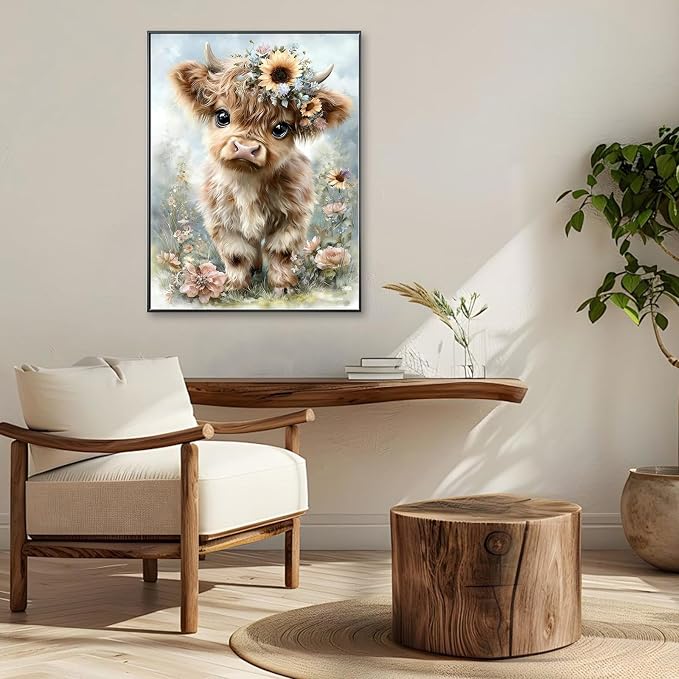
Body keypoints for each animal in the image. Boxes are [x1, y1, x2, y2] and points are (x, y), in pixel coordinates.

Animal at [170, 43, 352, 295]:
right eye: (222, 116)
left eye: (281, 128)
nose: (245, 149)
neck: (247, 183)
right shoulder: (221, 219)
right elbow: (236, 255)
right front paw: (234, 287)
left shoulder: (293, 216)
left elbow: (280, 252)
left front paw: (283, 286)